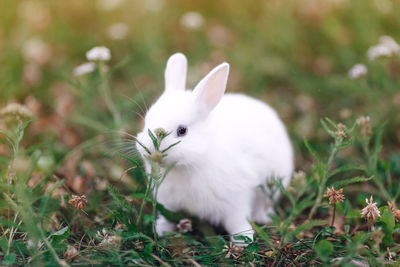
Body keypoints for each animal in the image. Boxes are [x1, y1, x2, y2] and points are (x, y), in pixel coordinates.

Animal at [136, 52, 296, 245]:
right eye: (146, 122)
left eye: (182, 130)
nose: (151, 151)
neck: (191, 163)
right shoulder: (168, 202)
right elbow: (168, 216)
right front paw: (162, 230)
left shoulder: (235, 199)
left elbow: (237, 221)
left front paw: (243, 240)